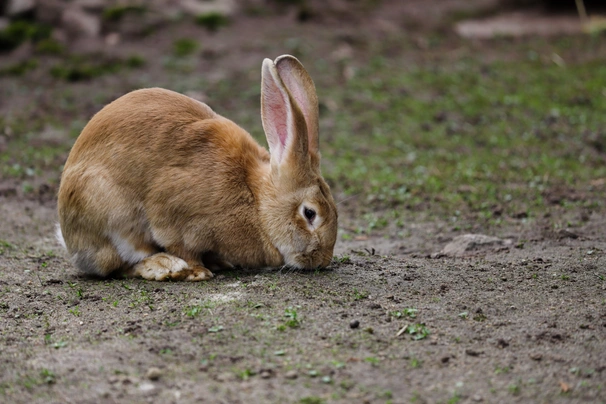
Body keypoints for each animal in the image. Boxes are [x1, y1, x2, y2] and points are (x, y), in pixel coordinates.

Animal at [57, 54, 340, 280]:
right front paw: (197, 271)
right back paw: (164, 266)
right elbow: (182, 245)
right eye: (310, 213)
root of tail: (69, 239)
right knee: (117, 265)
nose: (320, 261)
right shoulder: (174, 217)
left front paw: (219, 263)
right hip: (111, 213)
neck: (256, 201)